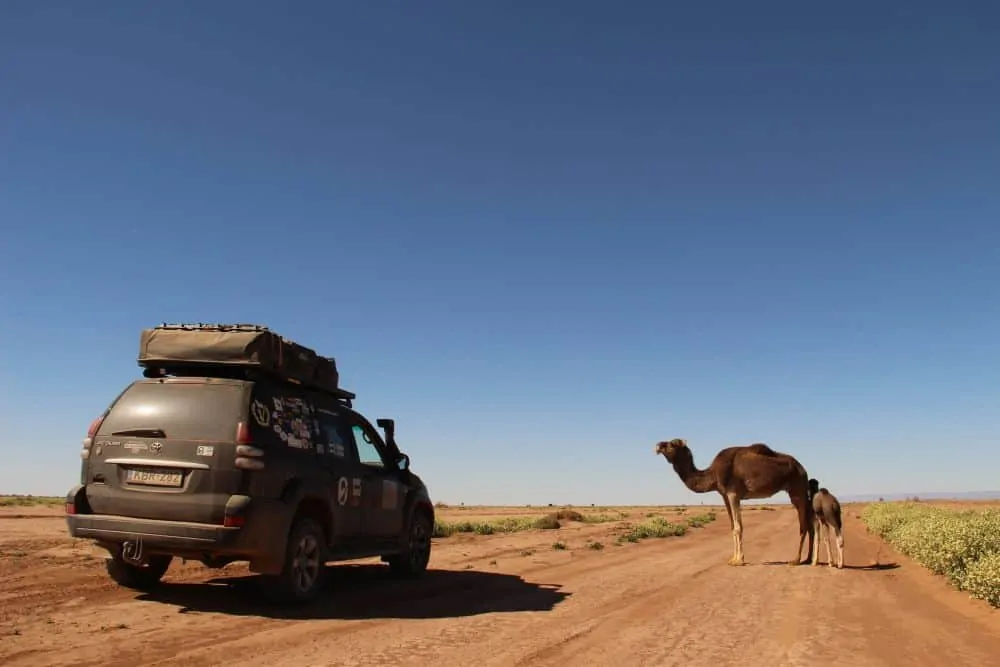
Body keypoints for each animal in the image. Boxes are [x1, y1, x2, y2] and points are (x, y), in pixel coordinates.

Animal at [654, 439, 814, 566]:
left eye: (672, 444)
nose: (658, 446)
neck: (712, 474)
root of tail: (802, 469)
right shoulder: (724, 495)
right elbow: (732, 527)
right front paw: (732, 558)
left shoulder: (733, 494)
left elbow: (738, 527)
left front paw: (739, 560)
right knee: (809, 523)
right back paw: (808, 559)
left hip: (797, 489)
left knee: (803, 525)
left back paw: (796, 560)